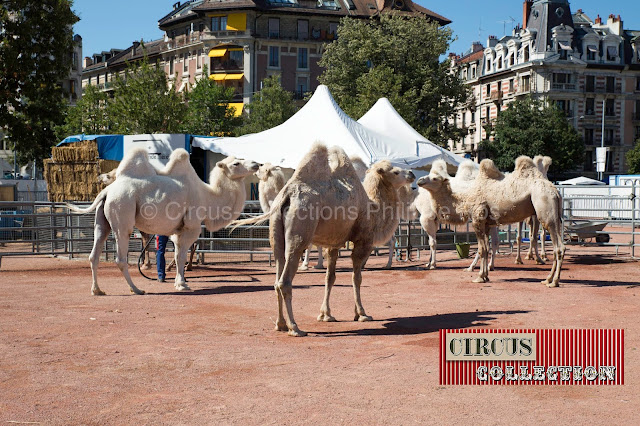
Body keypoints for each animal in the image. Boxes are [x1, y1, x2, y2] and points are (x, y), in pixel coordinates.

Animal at [68, 150, 258, 296]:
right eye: (236, 163)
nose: (256, 164)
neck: (208, 197)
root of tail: (106, 191)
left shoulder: (178, 230)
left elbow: (176, 255)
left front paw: (179, 282)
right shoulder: (191, 227)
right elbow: (180, 256)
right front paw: (182, 285)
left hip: (102, 221)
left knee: (94, 254)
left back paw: (97, 290)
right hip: (122, 211)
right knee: (121, 258)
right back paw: (136, 289)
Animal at [232, 143, 412, 336]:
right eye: (395, 172)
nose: (411, 174)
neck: (373, 209)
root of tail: (286, 196)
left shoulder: (333, 244)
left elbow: (329, 277)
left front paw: (326, 315)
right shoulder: (363, 241)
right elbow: (357, 277)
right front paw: (362, 314)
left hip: (276, 237)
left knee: (276, 278)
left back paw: (280, 325)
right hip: (299, 235)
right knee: (284, 281)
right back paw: (295, 327)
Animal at [418, 155, 564, 288]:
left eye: (435, 178)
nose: (419, 180)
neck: (465, 199)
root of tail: (556, 192)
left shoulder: (477, 219)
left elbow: (482, 249)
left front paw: (479, 277)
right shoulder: (487, 223)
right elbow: (486, 248)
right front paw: (485, 275)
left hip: (545, 209)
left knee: (558, 246)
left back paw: (553, 281)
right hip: (556, 215)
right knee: (558, 245)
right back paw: (548, 279)